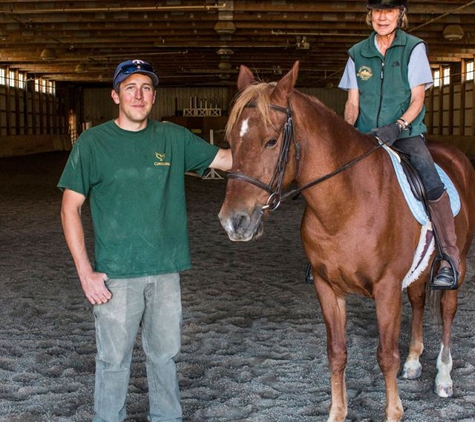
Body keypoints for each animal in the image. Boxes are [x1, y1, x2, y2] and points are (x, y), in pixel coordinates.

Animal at [218, 61, 475, 420]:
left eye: (270, 142)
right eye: (230, 140)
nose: (234, 221)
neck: (347, 204)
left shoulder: (386, 289)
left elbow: (386, 356)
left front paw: (393, 412)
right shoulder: (327, 288)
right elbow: (337, 352)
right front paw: (337, 412)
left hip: (458, 261)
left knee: (448, 310)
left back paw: (444, 377)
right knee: (418, 300)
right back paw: (414, 361)